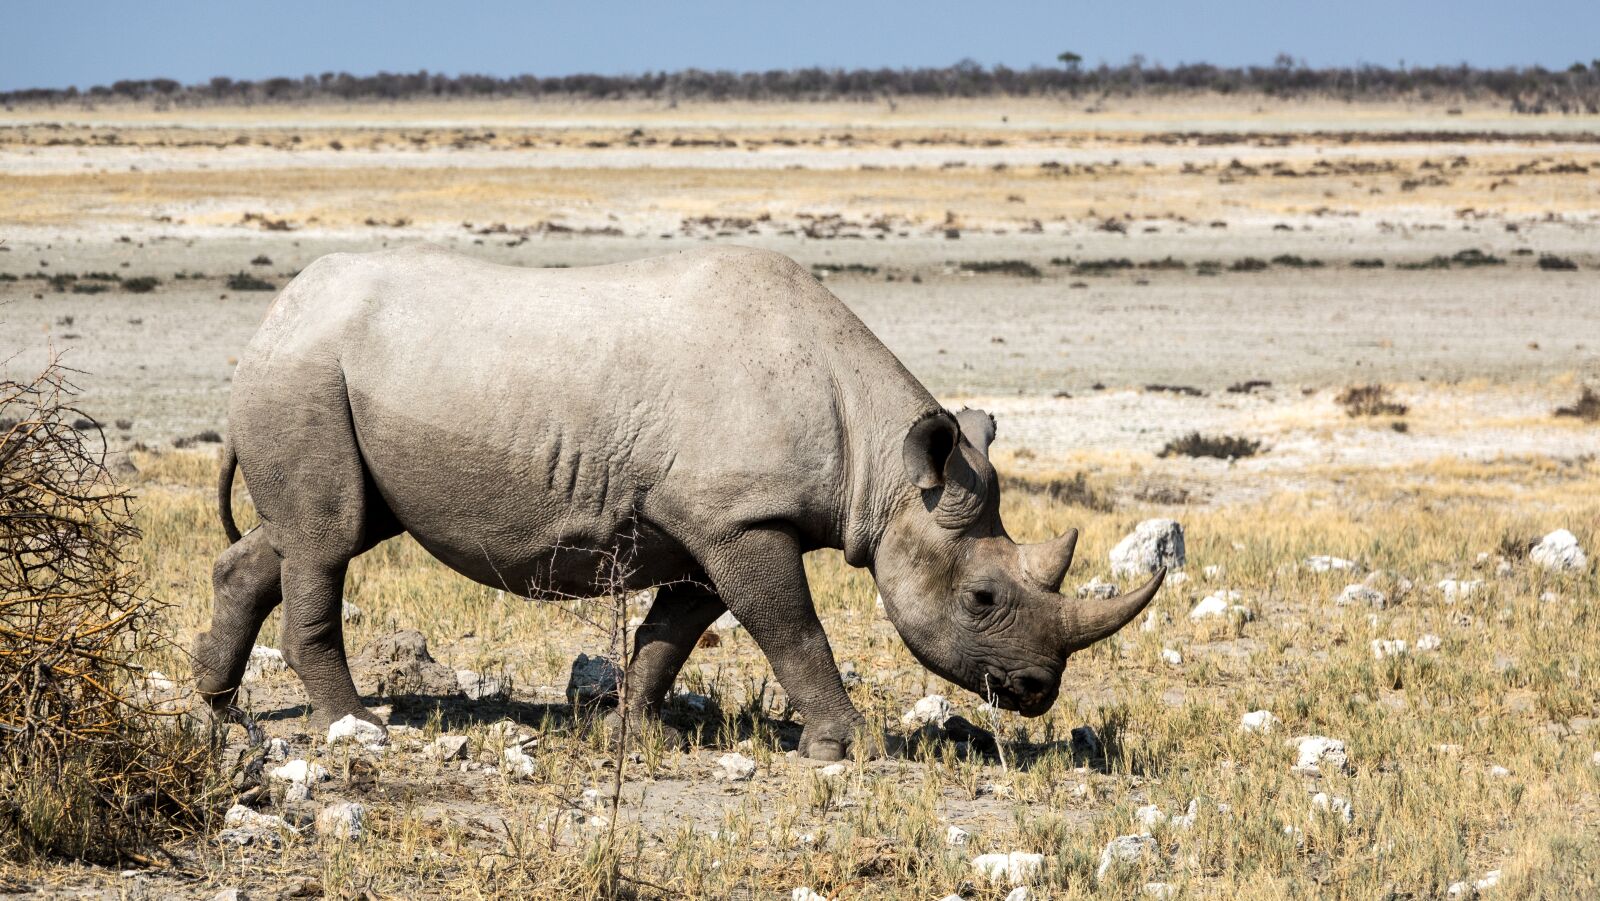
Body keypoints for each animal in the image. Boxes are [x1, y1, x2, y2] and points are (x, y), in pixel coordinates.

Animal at [194, 245, 1161, 760]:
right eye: (984, 597)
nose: (1037, 692)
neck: (886, 469)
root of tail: (272, 319)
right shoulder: (743, 518)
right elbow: (792, 628)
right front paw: (848, 746)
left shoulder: (711, 524)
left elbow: (672, 633)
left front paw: (629, 731)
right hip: (307, 374)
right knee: (325, 538)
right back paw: (357, 727)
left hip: (320, 373)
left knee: (310, 534)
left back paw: (220, 705)